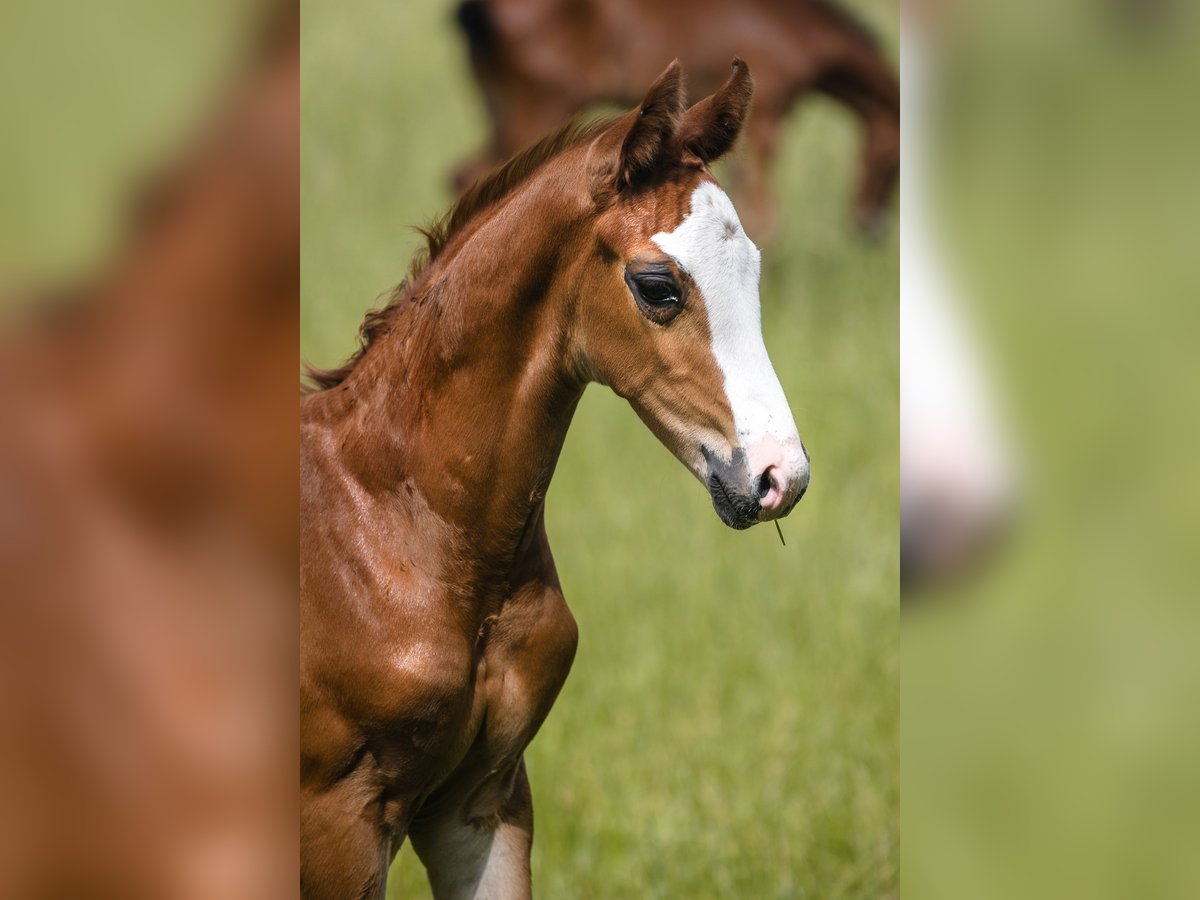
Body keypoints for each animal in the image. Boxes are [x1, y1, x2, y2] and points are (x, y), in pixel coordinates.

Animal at [453, 0, 897, 237]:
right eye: (893, 165)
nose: (871, 227)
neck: (797, 27)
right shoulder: (767, 118)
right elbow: (764, 216)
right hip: (540, 107)